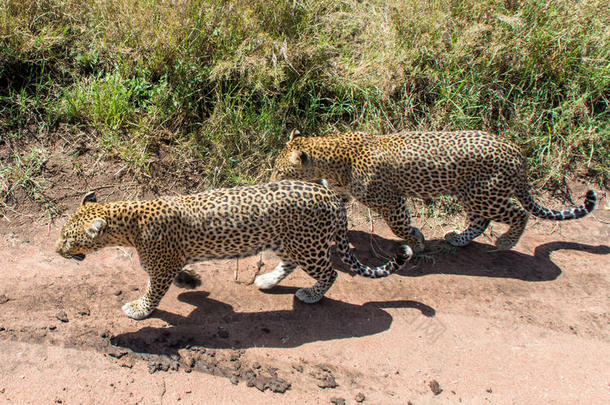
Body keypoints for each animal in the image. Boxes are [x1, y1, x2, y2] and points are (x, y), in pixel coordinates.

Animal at [55, 180, 408, 318]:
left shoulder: (162, 264)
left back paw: (310, 294)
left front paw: (139, 310)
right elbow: (176, 276)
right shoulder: (170, 260)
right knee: (290, 264)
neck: (128, 222)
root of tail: (332, 197)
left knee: (331, 272)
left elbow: (153, 290)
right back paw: (266, 281)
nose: (57, 250)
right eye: (61, 234)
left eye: (69, 239)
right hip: (288, 241)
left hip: (308, 245)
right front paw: (191, 283)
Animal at [270, 129, 592, 252]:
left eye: (279, 170)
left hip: (486, 194)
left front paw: (417, 240)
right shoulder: (341, 191)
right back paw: (458, 239)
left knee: (517, 214)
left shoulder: (390, 202)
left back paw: (505, 242)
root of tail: (517, 152)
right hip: (471, 194)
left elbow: (401, 226)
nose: (270, 179)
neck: (332, 157)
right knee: (480, 221)